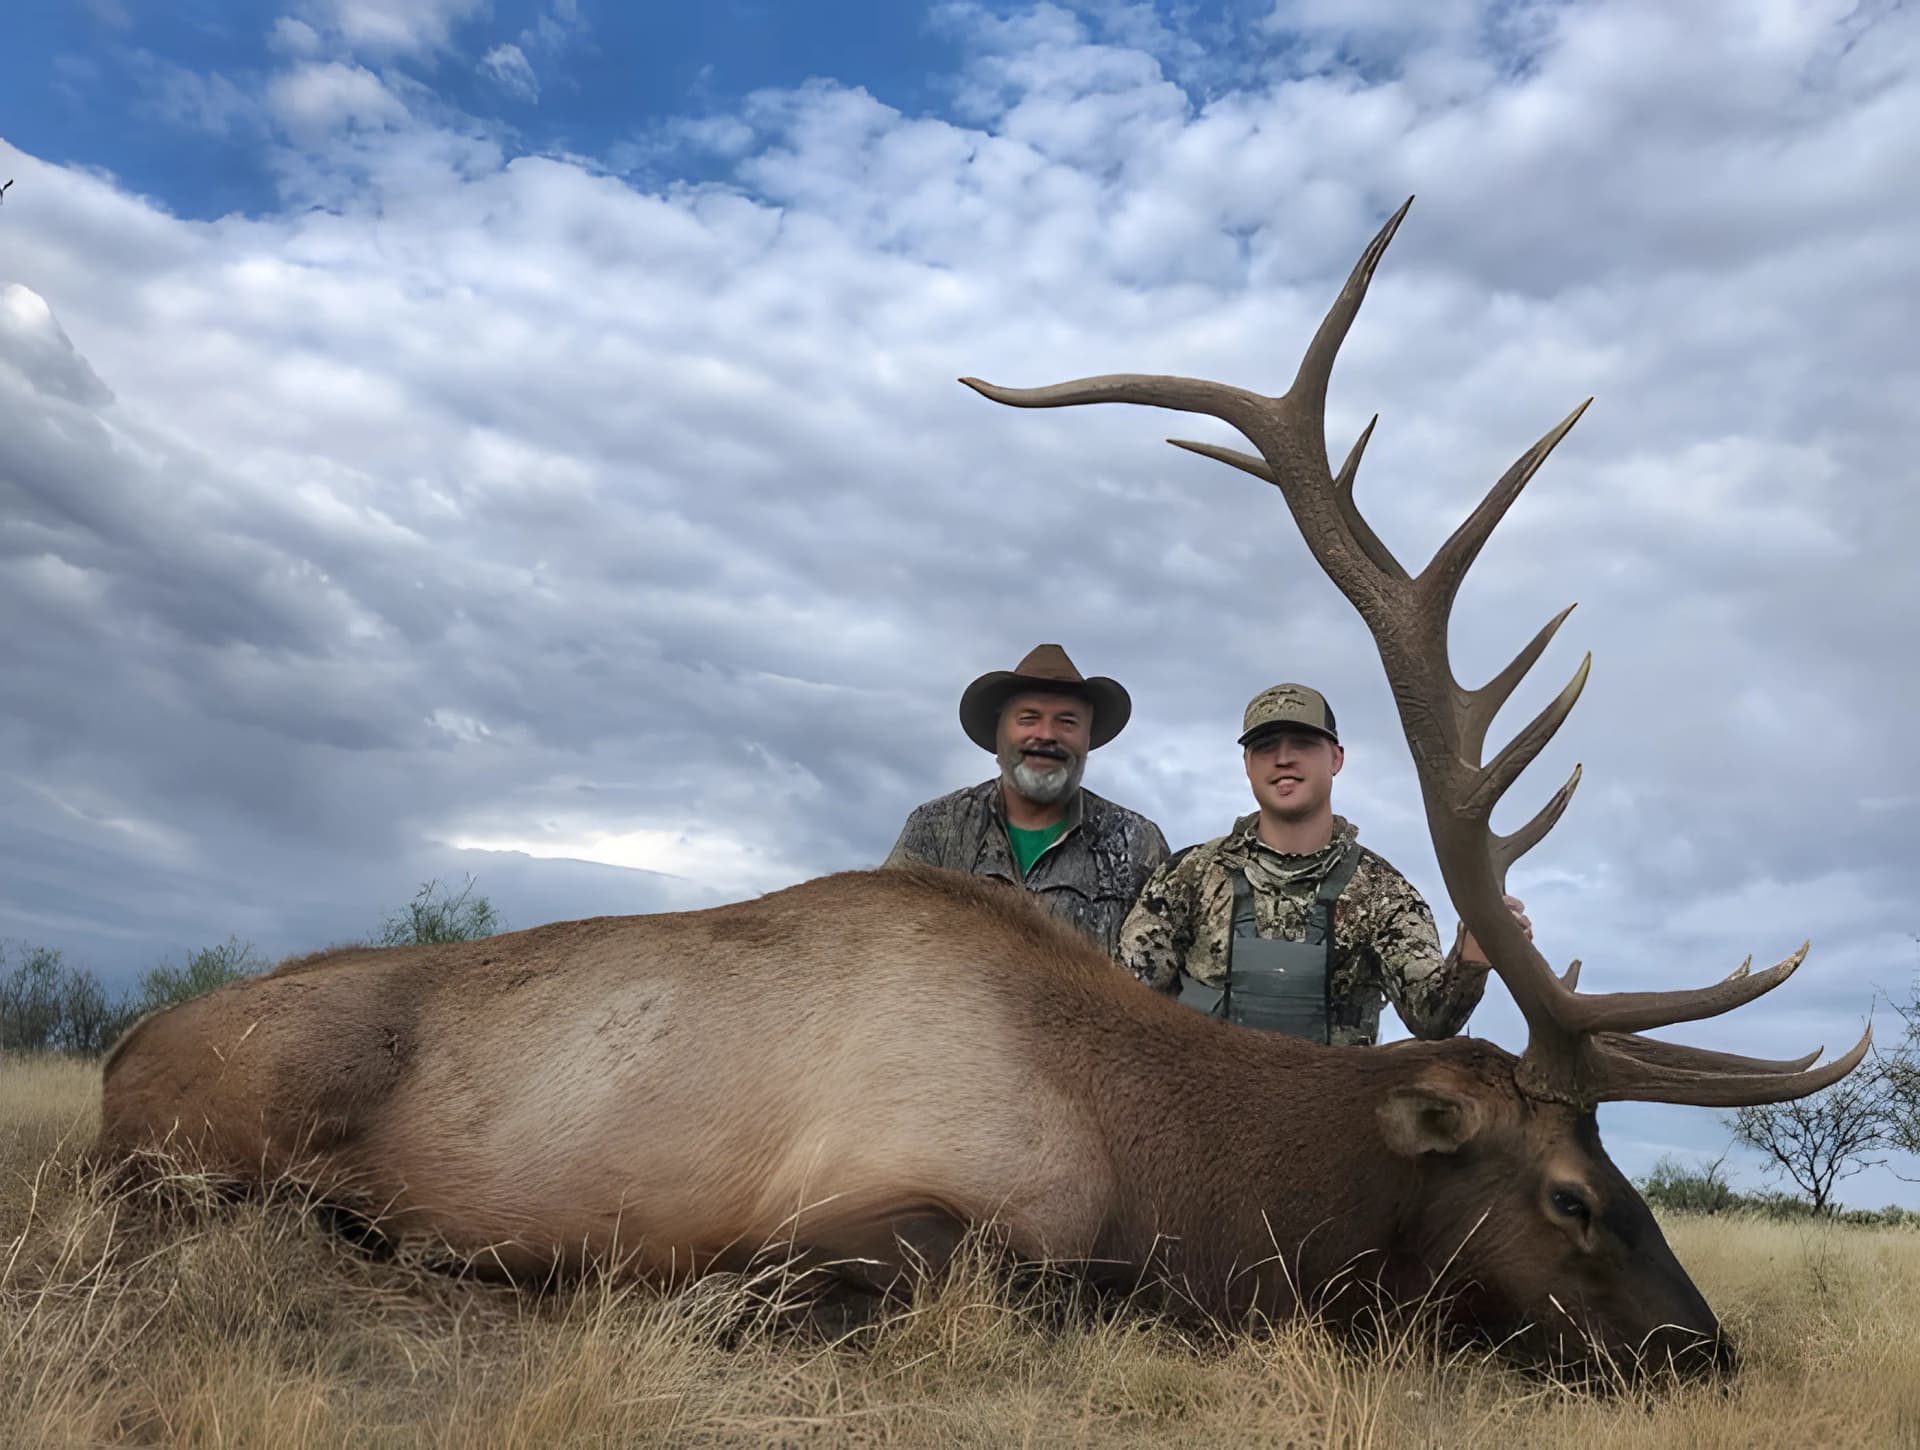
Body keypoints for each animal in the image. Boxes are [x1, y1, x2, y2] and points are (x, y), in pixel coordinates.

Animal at [95, 198, 1869, 1382]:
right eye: (1573, 1194)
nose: (1706, 1353)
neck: (1173, 1160)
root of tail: (120, 1042)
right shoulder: (877, 1212)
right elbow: (994, 1288)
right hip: (222, 1135)